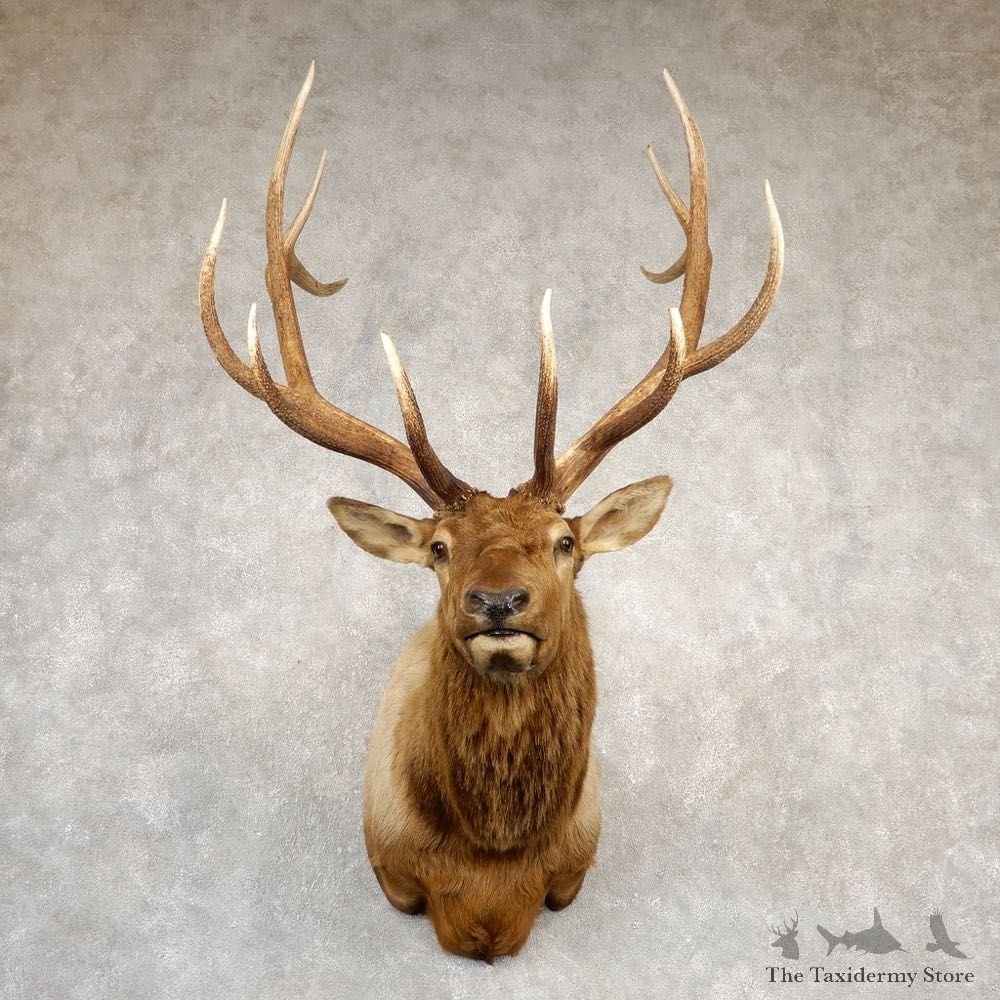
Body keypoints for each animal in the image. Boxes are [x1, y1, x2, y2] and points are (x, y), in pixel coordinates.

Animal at [198, 63, 783, 962]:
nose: (498, 600)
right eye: (439, 548)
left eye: (566, 541)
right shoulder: (393, 867)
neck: (492, 866)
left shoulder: (575, 866)